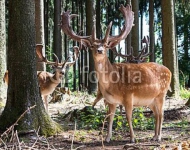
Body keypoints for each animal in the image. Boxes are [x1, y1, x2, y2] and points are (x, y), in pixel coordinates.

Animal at [60, 4, 172, 142]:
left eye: (106, 45)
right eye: (92, 45)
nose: (100, 50)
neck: (112, 84)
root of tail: (169, 70)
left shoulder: (128, 96)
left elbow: (128, 117)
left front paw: (132, 138)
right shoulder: (110, 101)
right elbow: (110, 118)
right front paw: (107, 138)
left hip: (162, 93)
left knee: (161, 114)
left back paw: (159, 136)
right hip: (150, 100)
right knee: (156, 114)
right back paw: (154, 135)